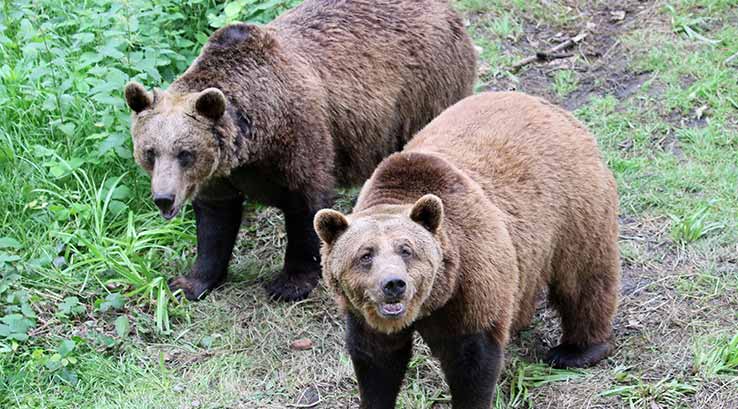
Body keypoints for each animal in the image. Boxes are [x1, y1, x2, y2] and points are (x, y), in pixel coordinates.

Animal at [123, 0, 477, 301]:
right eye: (150, 152)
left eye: (185, 153)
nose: (164, 198)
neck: (254, 140)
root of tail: (448, 10)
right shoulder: (220, 173)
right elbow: (214, 221)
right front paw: (189, 282)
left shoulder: (298, 139)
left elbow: (306, 206)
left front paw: (289, 283)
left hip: (425, 92)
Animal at [314, 92, 620, 408]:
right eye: (365, 255)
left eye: (407, 250)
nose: (394, 284)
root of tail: (550, 108)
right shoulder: (367, 314)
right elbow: (377, 360)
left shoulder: (471, 281)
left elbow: (472, 359)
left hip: (574, 210)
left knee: (583, 278)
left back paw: (577, 350)